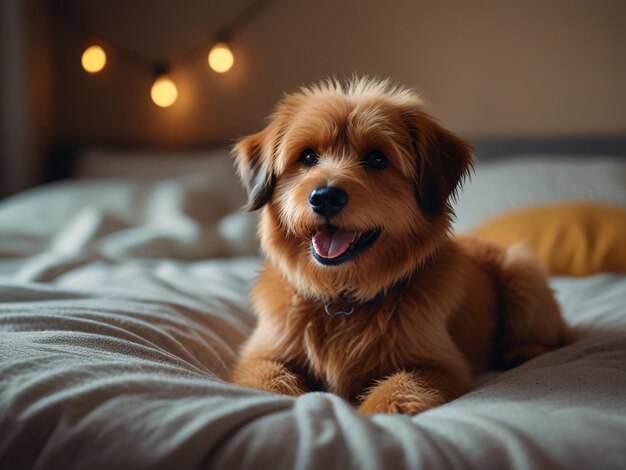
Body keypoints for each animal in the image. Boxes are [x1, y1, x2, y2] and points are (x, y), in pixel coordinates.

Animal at [229, 78, 572, 414]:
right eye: (308, 156)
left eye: (377, 158)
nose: (325, 197)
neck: (342, 301)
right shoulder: (261, 358)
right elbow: (268, 385)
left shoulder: (437, 366)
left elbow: (393, 395)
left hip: (523, 273)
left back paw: (521, 352)